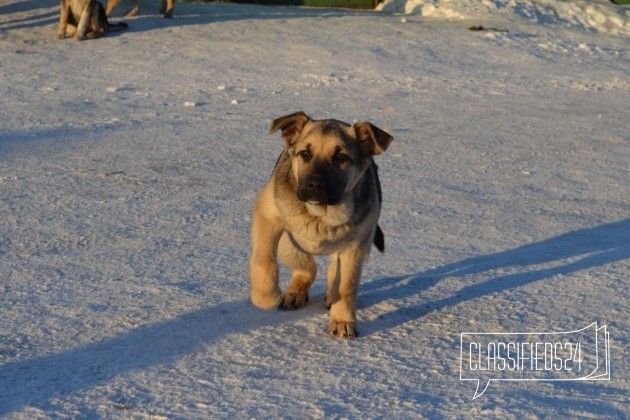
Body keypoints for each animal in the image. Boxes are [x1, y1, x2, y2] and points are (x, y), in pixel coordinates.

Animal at [249, 110, 392, 338]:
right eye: (305, 154)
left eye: (340, 157)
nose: (314, 185)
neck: (321, 216)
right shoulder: (267, 216)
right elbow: (263, 259)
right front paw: (265, 297)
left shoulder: (356, 245)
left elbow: (347, 285)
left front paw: (343, 321)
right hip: (288, 244)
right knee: (307, 268)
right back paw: (294, 293)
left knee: (331, 272)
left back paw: (331, 296)